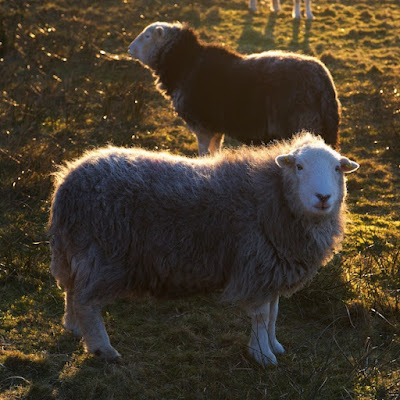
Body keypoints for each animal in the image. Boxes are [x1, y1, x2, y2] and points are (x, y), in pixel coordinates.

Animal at [48, 132, 359, 364]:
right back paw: (103, 348)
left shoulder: (273, 268)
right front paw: (262, 354)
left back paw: (73, 327)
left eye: (337, 168)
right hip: (103, 253)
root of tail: (67, 181)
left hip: (75, 251)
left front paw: (274, 345)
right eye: (299, 167)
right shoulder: (257, 266)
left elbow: (274, 313)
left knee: (71, 288)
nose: (323, 197)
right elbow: (261, 315)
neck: (274, 195)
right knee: (86, 301)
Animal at [128, 22, 338, 156]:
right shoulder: (215, 127)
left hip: (301, 126)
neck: (185, 62)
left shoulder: (202, 127)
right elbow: (215, 151)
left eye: (147, 36)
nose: (129, 49)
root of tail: (322, 81)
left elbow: (204, 153)